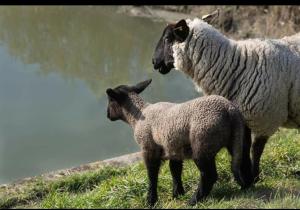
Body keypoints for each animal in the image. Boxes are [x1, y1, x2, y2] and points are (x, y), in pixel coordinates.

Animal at [105, 78, 253, 206]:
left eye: (110, 100)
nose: (107, 116)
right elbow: (175, 170)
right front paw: (177, 193)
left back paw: (193, 201)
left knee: (209, 175)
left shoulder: (148, 149)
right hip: (239, 139)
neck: (138, 115)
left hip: (202, 143)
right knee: (243, 160)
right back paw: (247, 185)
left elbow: (152, 175)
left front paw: (151, 201)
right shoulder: (173, 147)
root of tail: (230, 110)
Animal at [151, 11, 300, 182]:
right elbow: (243, 147)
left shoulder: (265, 116)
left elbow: (256, 149)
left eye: (167, 39)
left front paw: (253, 176)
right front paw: (245, 175)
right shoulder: (243, 117)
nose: (154, 62)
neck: (236, 67)